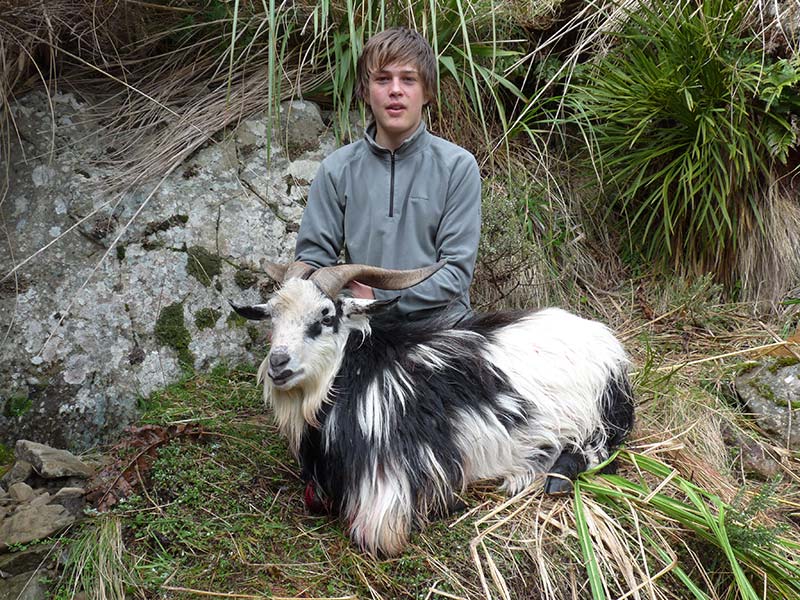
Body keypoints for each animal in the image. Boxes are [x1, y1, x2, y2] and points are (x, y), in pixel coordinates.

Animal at [232, 260, 634, 557]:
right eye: (271, 317)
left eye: (326, 316)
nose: (278, 365)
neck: (354, 375)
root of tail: (608, 342)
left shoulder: (388, 499)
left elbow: (376, 535)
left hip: (600, 416)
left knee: (601, 450)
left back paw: (550, 473)